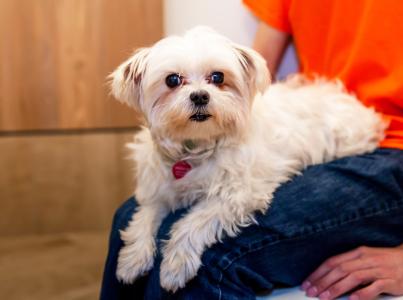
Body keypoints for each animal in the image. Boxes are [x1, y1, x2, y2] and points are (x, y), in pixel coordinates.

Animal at [109, 27, 386, 292]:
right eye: (172, 80)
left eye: (218, 77)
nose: (200, 96)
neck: (197, 147)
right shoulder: (158, 191)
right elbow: (142, 218)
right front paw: (133, 259)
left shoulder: (239, 194)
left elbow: (191, 223)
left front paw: (175, 265)